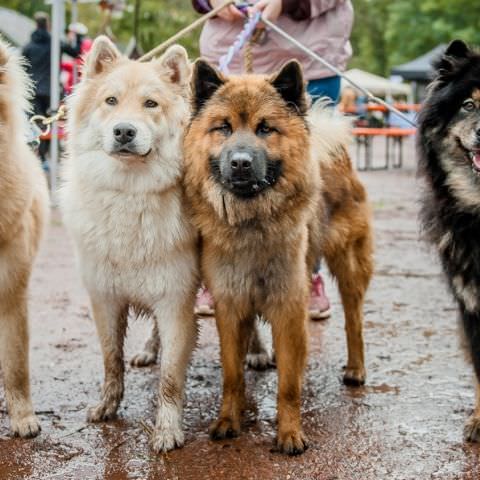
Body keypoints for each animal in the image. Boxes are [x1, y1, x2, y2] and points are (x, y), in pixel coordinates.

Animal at [60, 37, 199, 454]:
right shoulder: (105, 298)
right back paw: (150, 349)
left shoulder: (176, 304)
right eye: (110, 100)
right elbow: (111, 360)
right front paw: (108, 406)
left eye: (151, 104)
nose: (124, 131)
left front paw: (167, 430)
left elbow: (171, 377)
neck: (130, 193)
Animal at [182, 59, 374, 454]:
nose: (240, 163)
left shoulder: (289, 306)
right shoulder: (230, 301)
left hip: (348, 265)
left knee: (354, 321)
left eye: (265, 128)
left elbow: (288, 384)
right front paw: (229, 420)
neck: (252, 221)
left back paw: (356, 369)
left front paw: (289, 433)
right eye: (223, 127)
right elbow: (232, 374)